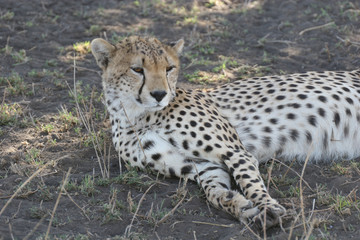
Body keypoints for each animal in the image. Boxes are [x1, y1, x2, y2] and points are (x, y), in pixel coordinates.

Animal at [91, 35, 360, 229]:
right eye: (137, 69)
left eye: (169, 68)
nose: (159, 94)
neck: (138, 116)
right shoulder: (200, 165)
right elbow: (215, 191)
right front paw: (243, 208)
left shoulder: (236, 152)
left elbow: (249, 181)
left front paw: (267, 207)